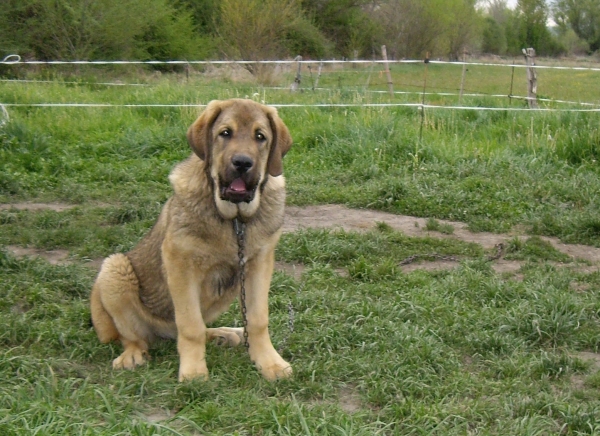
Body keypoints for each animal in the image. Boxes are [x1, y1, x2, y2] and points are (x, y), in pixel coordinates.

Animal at [89, 99, 292, 382]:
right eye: (225, 133)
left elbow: (258, 319)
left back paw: (225, 334)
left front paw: (269, 362)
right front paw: (194, 372)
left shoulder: (259, 264)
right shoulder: (180, 265)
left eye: (260, 137)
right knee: (134, 336)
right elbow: (190, 325)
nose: (242, 163)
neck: (234, 221)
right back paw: (133, 355)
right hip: (114, 270)